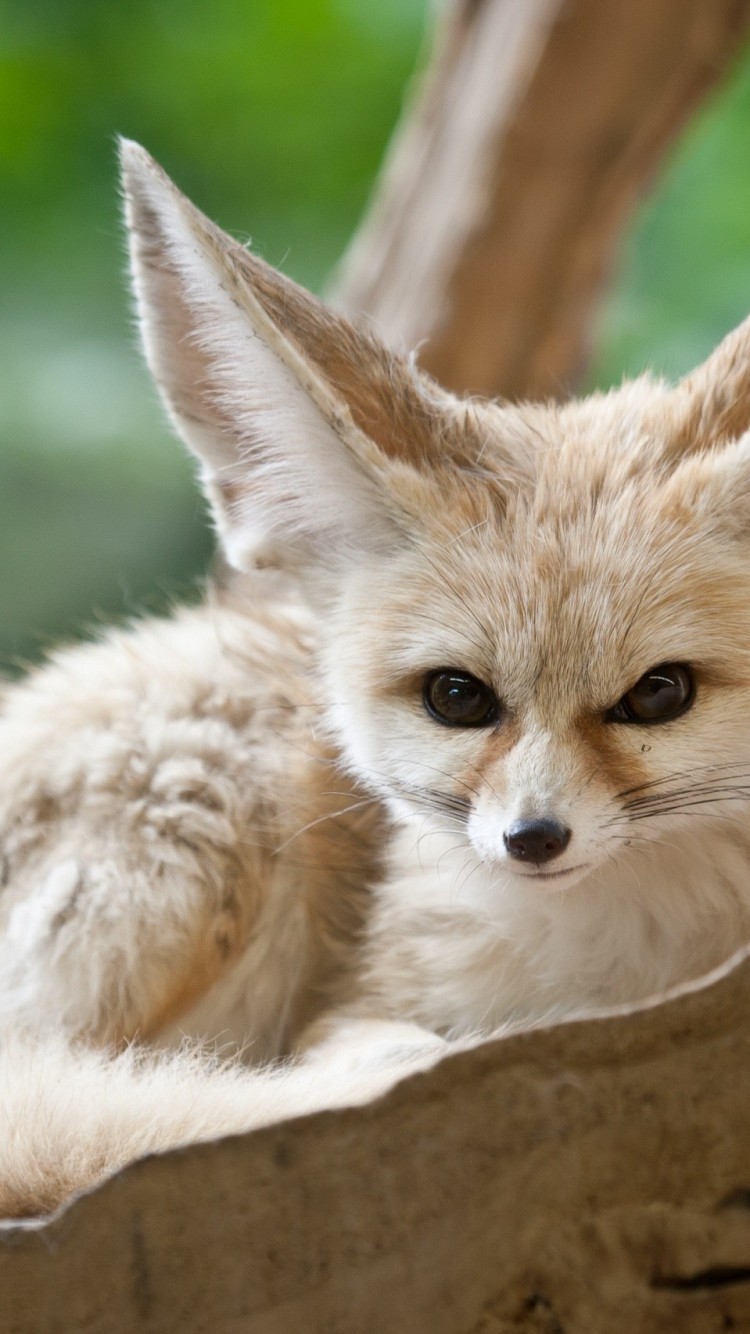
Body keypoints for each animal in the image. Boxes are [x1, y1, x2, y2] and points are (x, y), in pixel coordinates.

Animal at [2, 139, 750, 1219]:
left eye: (659, 694)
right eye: (457, 696)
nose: (533, 839)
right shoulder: (354, 1002)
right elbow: (371, 1052)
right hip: (225, 799)